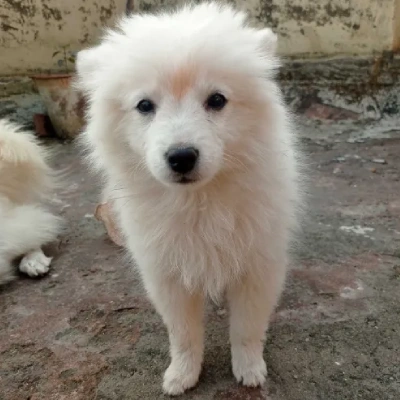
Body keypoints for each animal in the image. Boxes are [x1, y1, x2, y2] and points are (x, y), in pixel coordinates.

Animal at [76, 3, 304, 396]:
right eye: (144, 105)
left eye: (217, 100)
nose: (181, 157)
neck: (199, 201)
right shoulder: (165, 272)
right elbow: (183, 333)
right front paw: (182, 374)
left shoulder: (259, 265)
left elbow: (247, 328)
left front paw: (249, 368)